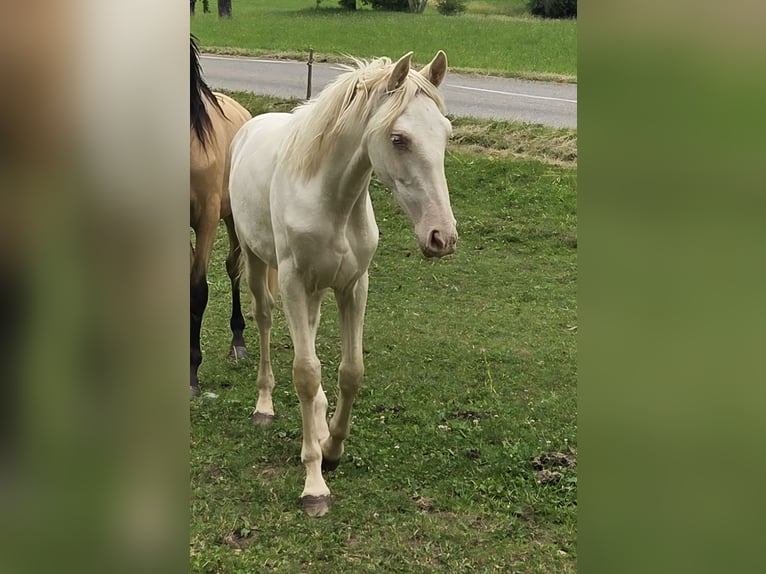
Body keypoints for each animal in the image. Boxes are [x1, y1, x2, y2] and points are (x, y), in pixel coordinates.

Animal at [229, 51, 458, 516]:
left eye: (445, 134)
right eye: (398, 139)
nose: (441, 237)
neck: (329, 198)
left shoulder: (353, 285)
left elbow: (350, 371)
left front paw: (331, 447)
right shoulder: (294, 283)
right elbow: (304, 372)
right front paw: (314, 485)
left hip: (317, 289)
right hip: (258, 262)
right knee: (264, 321)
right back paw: (264, 407)